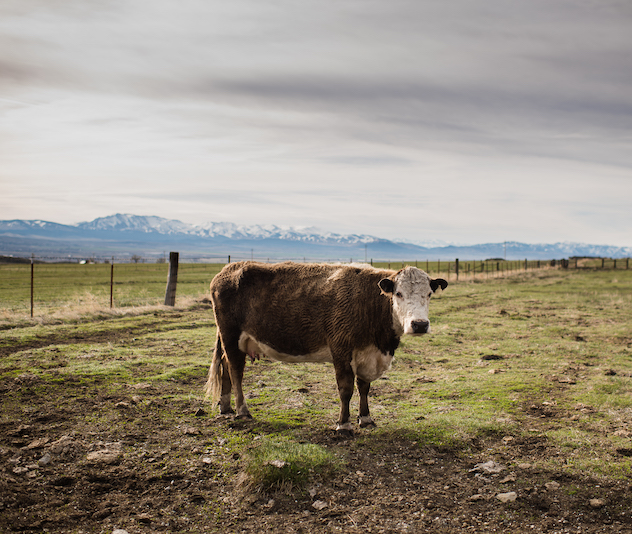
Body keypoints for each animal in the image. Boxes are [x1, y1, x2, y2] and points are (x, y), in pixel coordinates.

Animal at [205, 262, 446, 438]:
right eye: (398, 294)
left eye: (429, 294)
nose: (419, 324)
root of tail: (229, 269)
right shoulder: (341, 349)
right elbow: (346, 388)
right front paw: (344, 424)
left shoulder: (366, 355)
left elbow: (364, 387)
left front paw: (366, 418)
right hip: (230, 334)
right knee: (235, 369)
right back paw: (242, 411)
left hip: (231, 339)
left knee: (225, 364)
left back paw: (225, 406)